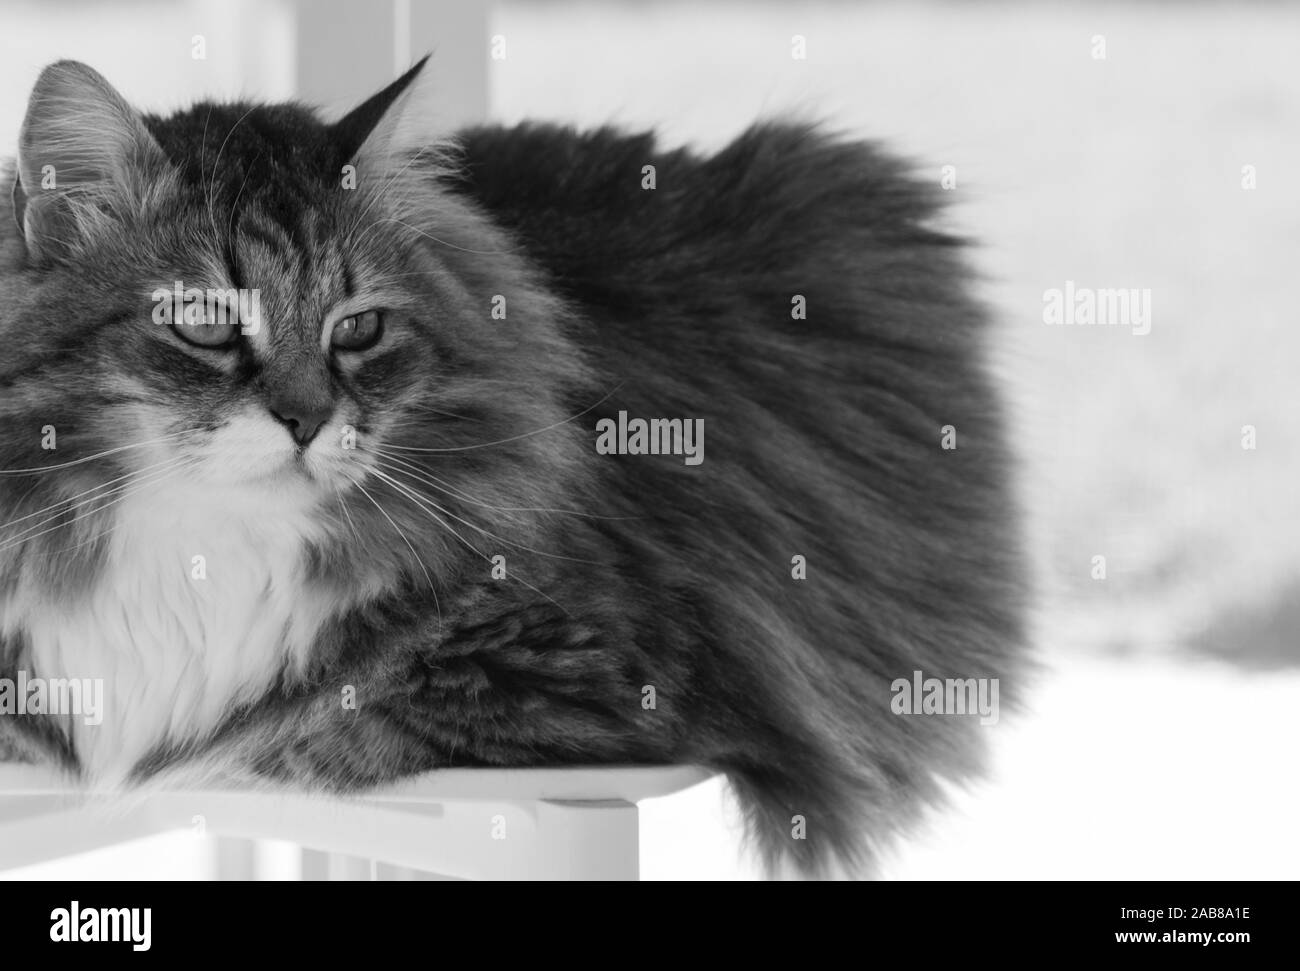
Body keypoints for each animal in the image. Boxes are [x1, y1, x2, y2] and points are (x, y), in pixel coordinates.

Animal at [0, 56, 1029, 878]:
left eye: (358, 330)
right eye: (207, 325)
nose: (308, 421)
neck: (201, 544)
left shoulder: (599, 674)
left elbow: (299, 725)